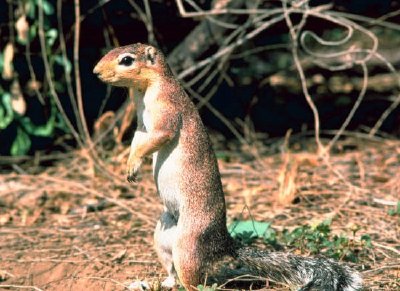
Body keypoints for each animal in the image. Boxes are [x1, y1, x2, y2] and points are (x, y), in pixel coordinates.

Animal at [94, 43, 362, 291]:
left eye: (126, 60)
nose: (96, 72)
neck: (146, 90)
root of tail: (222, 244)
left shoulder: (166, 109)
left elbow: (158, 136)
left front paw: (134, 164)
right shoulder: (141, 125)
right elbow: (137, 140)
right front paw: (130, 165)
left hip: (187, 245)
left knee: (195, 281)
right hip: (162, 236)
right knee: (173, 272)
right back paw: (155, 283)